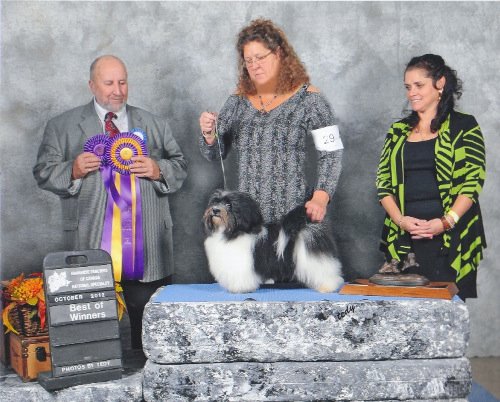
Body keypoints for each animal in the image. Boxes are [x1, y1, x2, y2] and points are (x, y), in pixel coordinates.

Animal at [203, 190, 344, 294]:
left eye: (229, 205)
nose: (215, 210)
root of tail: (306, 224)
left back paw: (327, 287)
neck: (232, 232)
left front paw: (239, 289)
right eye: (215, 202)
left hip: (313, 257)